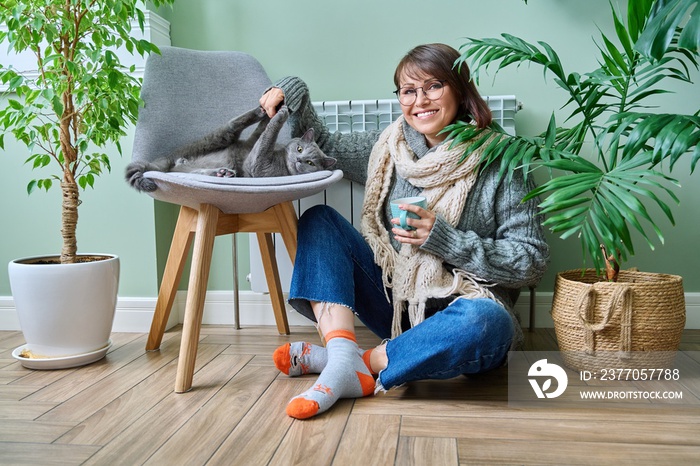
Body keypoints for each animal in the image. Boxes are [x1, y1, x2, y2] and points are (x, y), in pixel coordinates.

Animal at [127, 104, 338, 192]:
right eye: (300, 149)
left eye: (310, 163)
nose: (299, 160)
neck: (281, 157)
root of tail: (171, 159)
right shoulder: (252, 144)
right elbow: (262, 133)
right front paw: (277, 110)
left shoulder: (258, 165)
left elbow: (266, 138)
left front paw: (281, 114)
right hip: (217, 140)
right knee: (233, 126)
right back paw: (260, 111)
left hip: (218, 138)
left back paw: (222, 173)